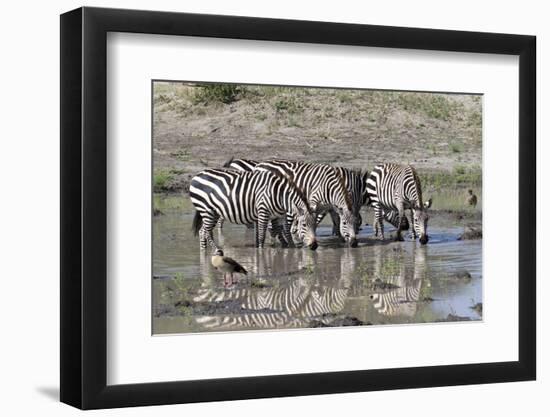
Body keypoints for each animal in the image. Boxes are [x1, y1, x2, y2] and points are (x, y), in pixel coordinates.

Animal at [190, 167, 320, 250]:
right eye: (304, 225)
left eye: (315, 225)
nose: (314, 246)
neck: (279, 195)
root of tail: (198, 175)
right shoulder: (263, 211)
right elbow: (262, 235)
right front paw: (260, 252)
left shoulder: (277, 214)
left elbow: (283, 231)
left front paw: (289, 246)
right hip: (206, 210)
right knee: (204, 231)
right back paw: (215, 251)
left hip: (214, 212)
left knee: (204, 231)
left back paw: (205, 251)